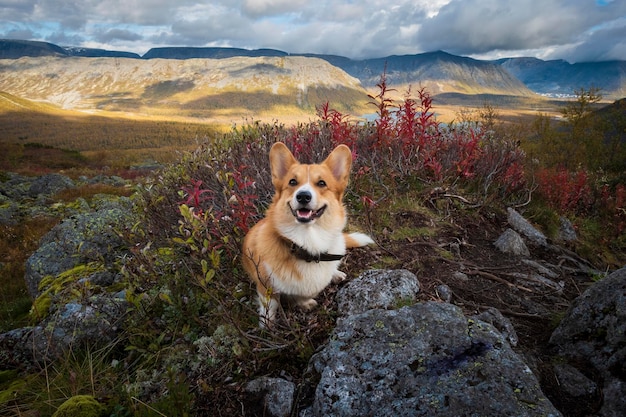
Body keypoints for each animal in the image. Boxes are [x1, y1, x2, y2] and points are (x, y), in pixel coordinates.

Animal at [241, 141, 372, 326]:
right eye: (292, 181)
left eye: (322, 183)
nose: (303, 196)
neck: (308, 243)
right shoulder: (265, 286)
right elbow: (270, 306)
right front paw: (267, 326)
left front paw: (304, 302)